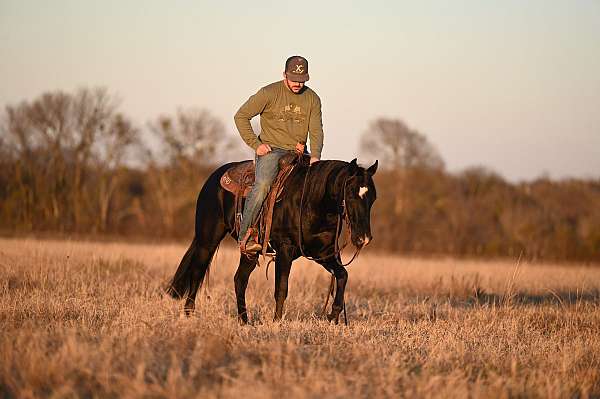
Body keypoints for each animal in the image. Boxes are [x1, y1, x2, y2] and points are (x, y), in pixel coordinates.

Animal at [166, 157, 378, 324]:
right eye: (351, 193)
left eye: (373, 198)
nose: (364, 238)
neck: (311, 201)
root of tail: (213, 179)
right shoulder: (285, 250)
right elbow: (281, 287)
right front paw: (276, 322)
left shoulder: (323, 254)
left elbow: (342, 275)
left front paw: (333, 315)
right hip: (207, 240)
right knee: (197, 272)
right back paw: (188, 315)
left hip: (249, 252)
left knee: (239, 279)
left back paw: (244, 321)